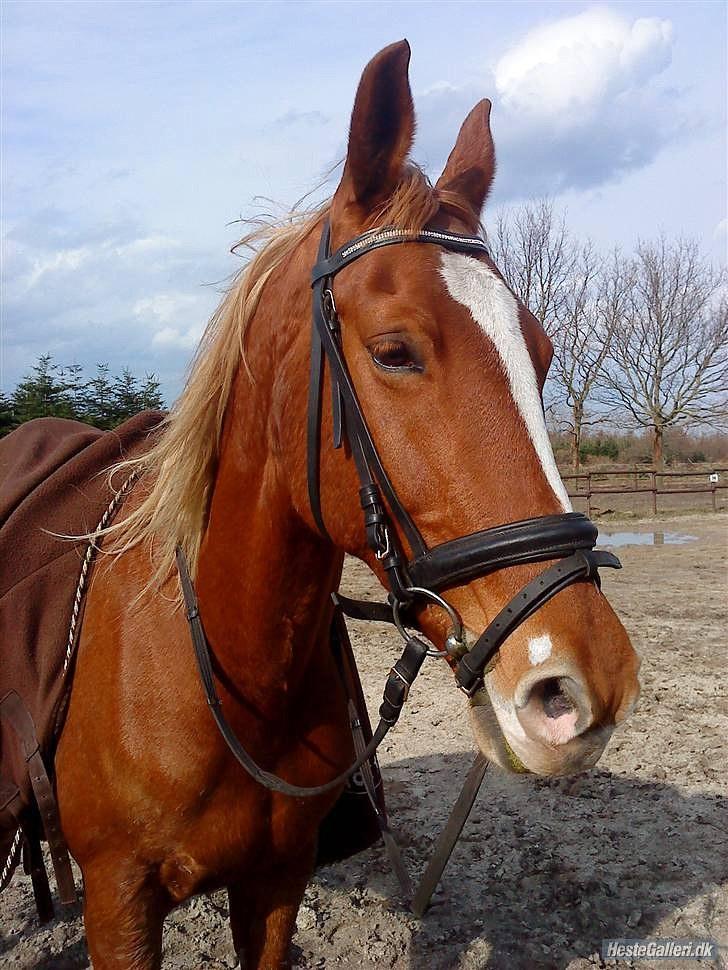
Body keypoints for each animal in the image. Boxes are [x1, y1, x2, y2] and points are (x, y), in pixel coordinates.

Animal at [51, 39, 640, 968]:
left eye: (542, 353)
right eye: (395, 351)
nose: (589, 683)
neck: (228, 668)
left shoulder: (277, 882)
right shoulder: (122, 905)